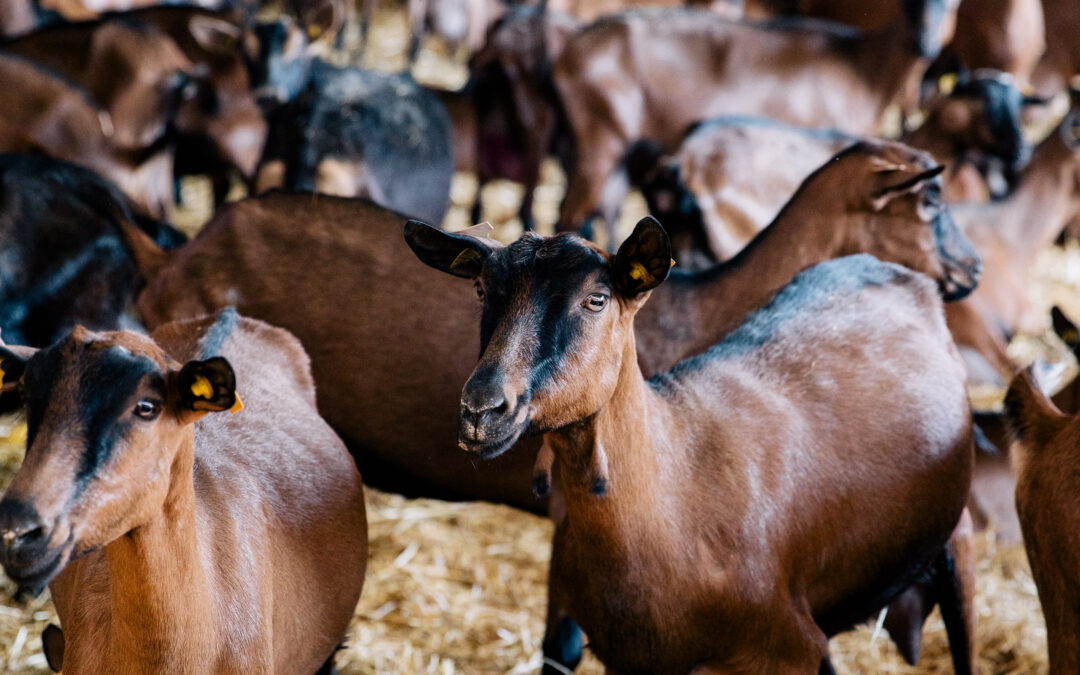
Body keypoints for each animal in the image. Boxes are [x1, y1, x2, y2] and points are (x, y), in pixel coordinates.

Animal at [405, 217, 976, 673]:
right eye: (481, 290)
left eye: (597, 299)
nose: (480, 409)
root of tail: (889, 270)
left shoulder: (781, 651)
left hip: (957, 539)